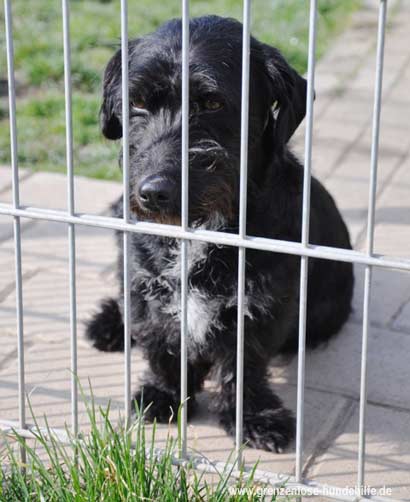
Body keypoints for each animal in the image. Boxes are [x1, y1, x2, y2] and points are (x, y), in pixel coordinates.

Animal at [86, 15, 354, 453]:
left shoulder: (263, 307)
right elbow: (161, 342)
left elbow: (245, 365)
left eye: (213, 103)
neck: (200, 229)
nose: (153, 192)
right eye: (137, 102)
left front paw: (255, 418)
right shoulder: (149, 287)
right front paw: (165, 393)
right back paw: (110, 324)